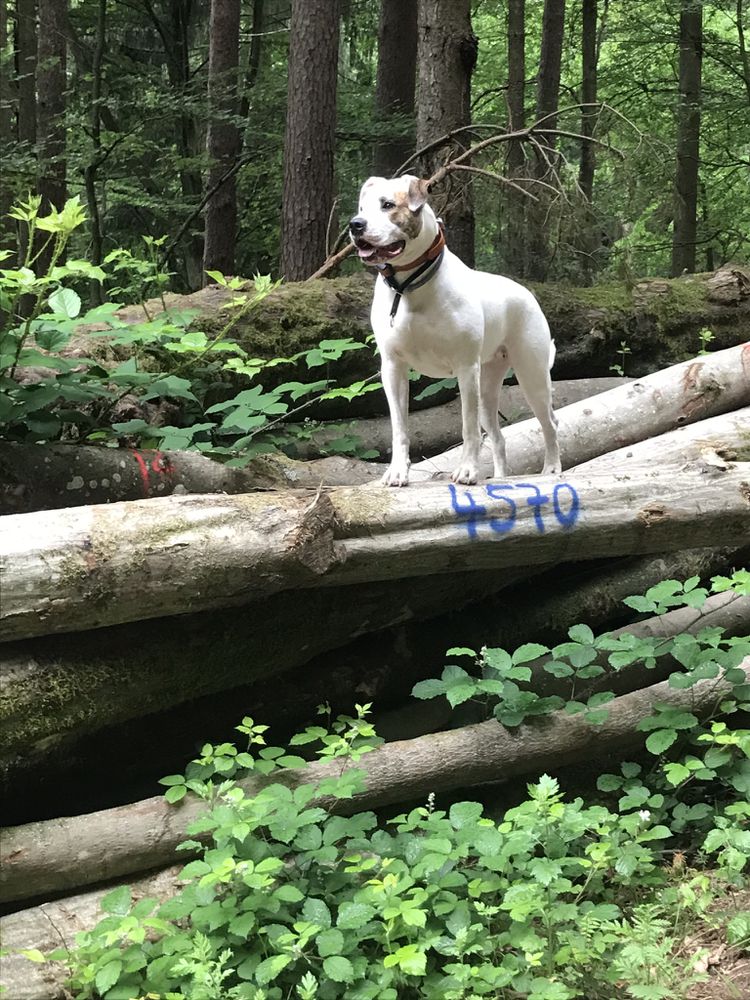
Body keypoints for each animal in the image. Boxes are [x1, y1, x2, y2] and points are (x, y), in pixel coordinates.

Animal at [350, 176, 560, 488]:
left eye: (387, 205)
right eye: (362, 208)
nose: (355, 224)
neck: (409, 285)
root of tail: (527, 293)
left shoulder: (466, 368)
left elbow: (468, 427)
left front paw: (467, 471)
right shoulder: (393, 368)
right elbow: (399, 427)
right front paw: (397, 472)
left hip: (531, 374)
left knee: (549, 422)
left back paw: (552, 468)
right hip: (488, 388)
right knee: (498, 437)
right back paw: (500, 477)